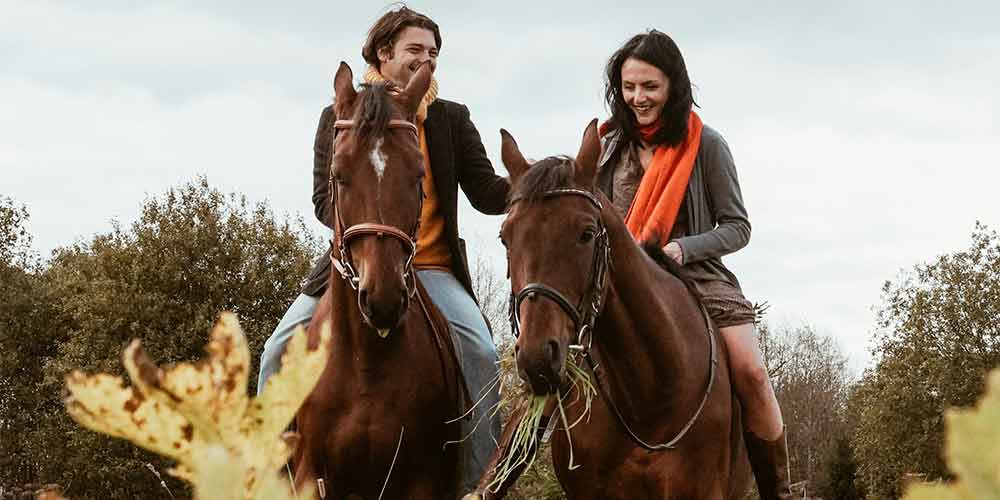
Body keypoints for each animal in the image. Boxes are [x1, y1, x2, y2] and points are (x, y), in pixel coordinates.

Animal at [294, 63, 466, 500]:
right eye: (339, 173)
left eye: (418, 173)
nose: (384, 299)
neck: (365, 362)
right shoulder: (310, 474)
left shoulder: (420, 478)